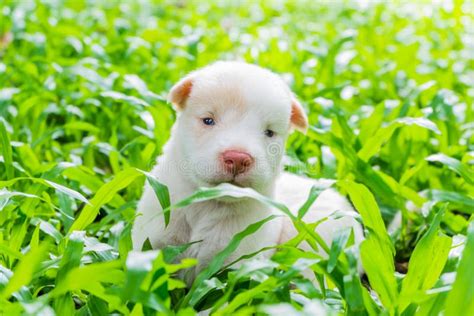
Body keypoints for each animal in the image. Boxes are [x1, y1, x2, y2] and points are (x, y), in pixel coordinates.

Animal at [131, 61, 364, 284]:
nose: (238, 158)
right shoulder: (153, 246)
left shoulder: (237, 264)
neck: (209, 203)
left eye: (269, 132)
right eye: (208, 120)